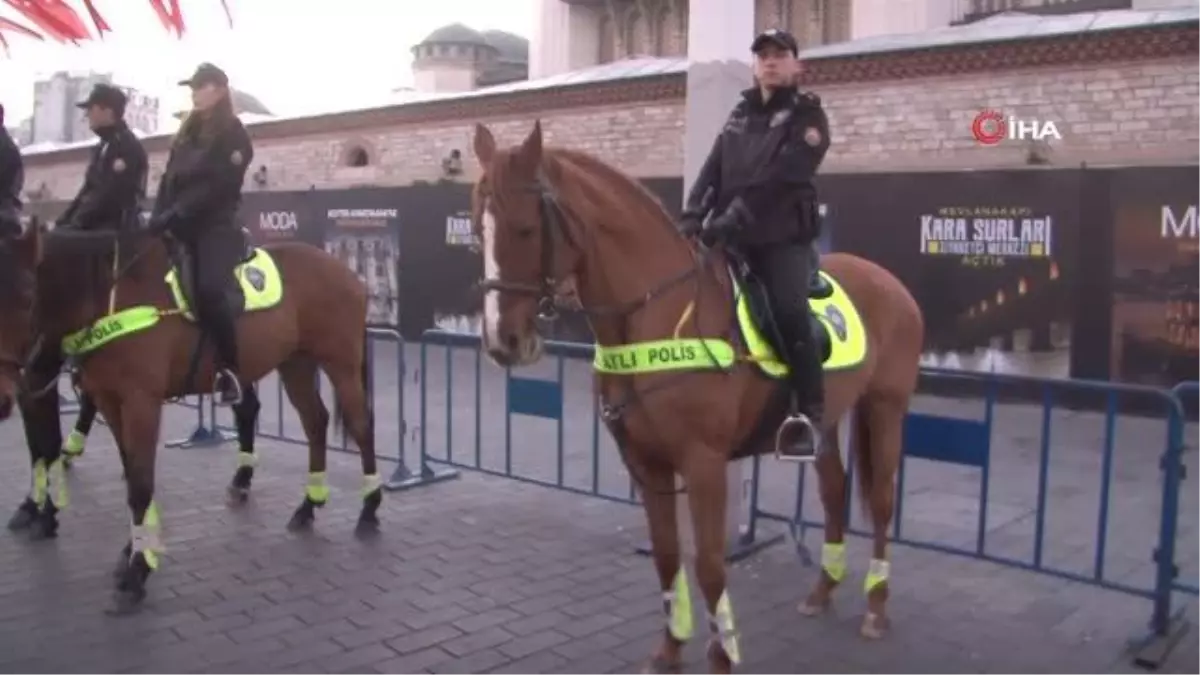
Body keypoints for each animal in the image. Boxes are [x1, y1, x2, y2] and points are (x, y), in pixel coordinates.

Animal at [0, 223, 379, 612]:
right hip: (296, 363)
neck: (113, 297)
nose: (8, 392)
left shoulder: (141, 403)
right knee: (315, 422)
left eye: (26, 296)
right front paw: (134, 550)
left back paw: (369, 508)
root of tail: (346, 272)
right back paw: (308, 505)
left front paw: (137, 571)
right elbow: (132, 477)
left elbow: (140, 485)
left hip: (340, 363)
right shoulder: (110, 401)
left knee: (361, 425)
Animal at [472, 121, 921, 672]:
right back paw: (822, 590)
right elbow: (667, 556)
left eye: (525, 229)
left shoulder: (704, 463)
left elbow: (708, 564)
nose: (503, 341)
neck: (659, 313)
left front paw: (723, 653)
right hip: (826, 421)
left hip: (886, 407)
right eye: (478, 231)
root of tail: (889, 282)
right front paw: (670, 648)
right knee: (834, 490)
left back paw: (876, 608)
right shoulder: (645, 463)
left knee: (880, 502)